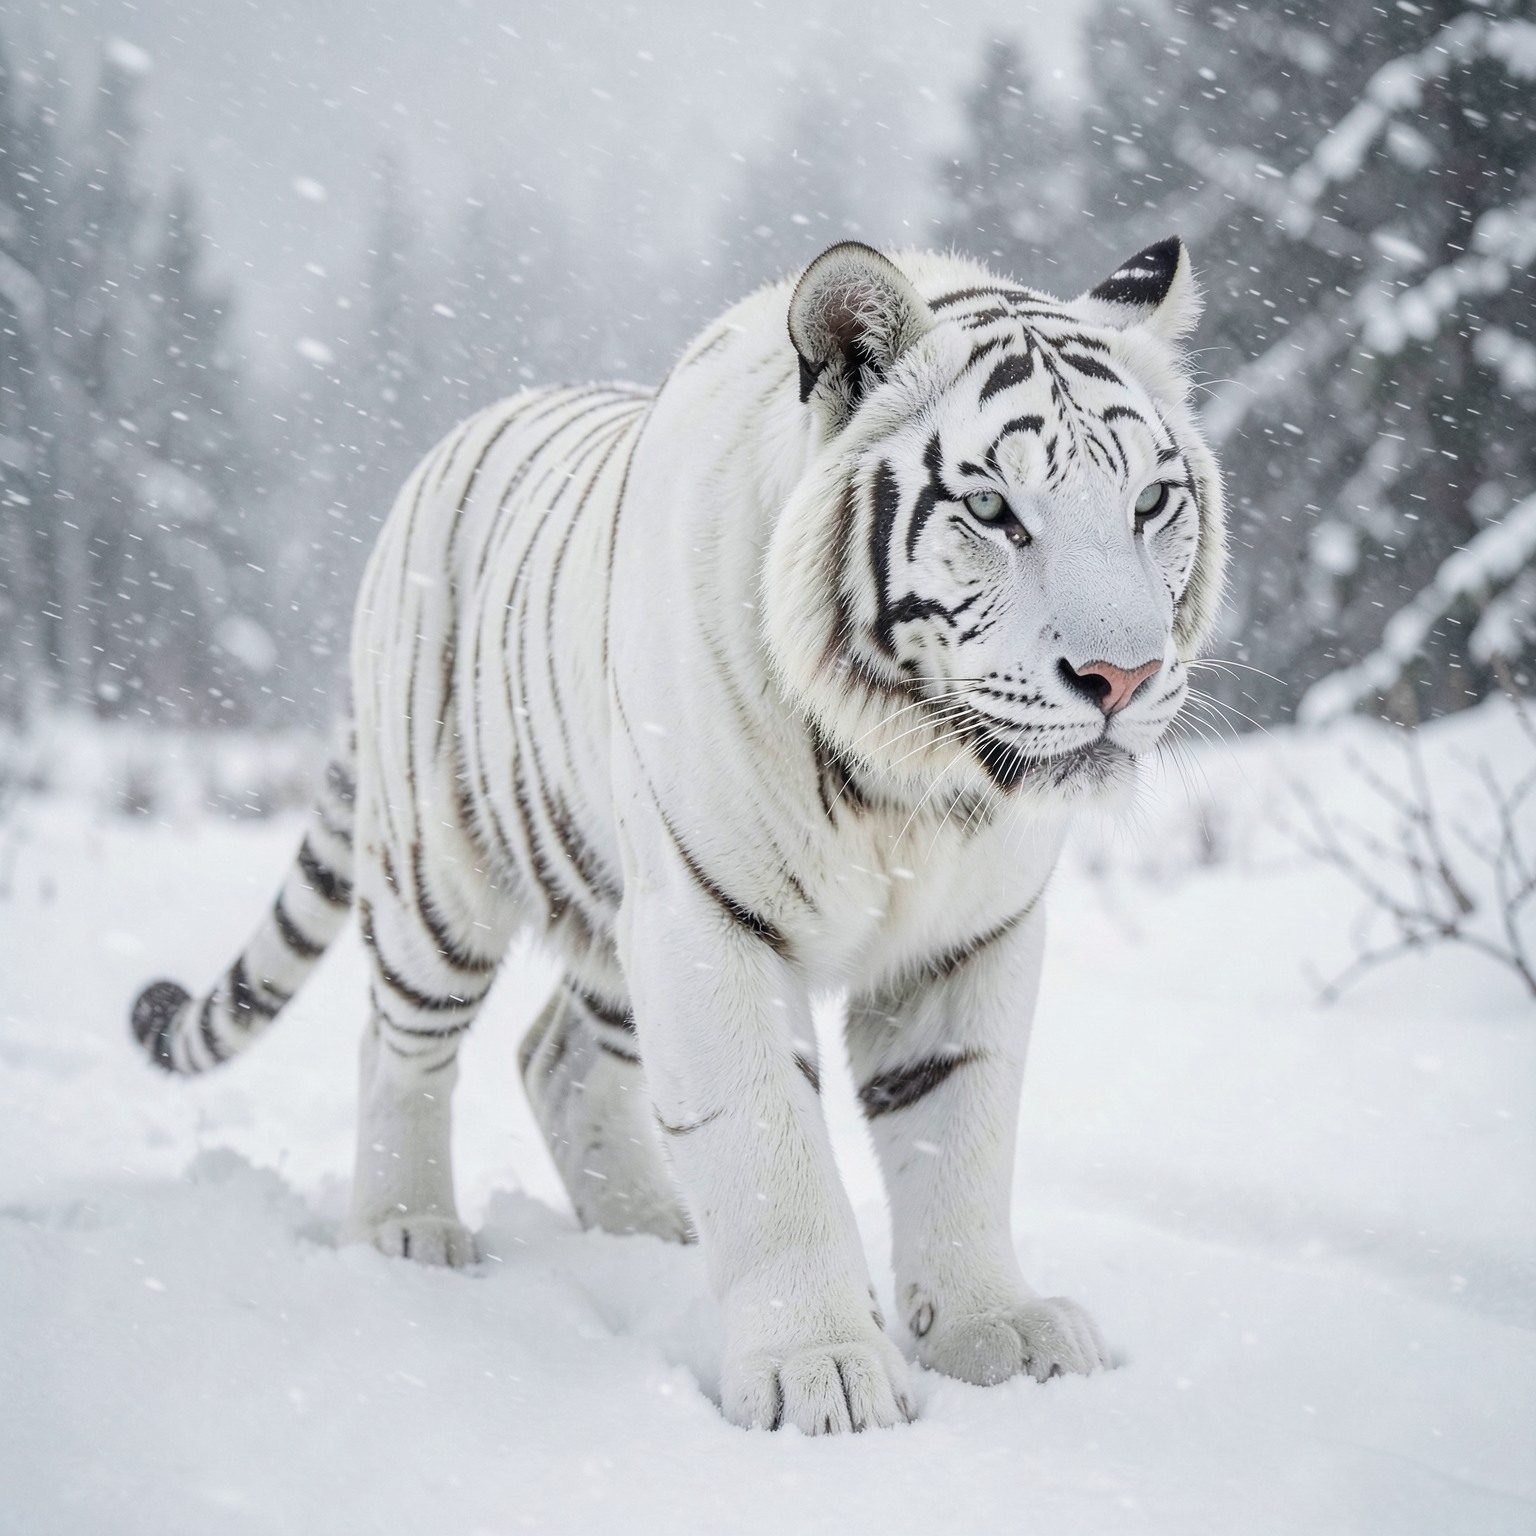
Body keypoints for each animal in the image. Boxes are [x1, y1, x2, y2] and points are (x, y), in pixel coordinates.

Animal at [131, 237, 1226, 1434]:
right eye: (990, 506)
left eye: (1152, 500)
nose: (1123, 677)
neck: (910, 780)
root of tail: (442, 453)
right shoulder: (710, 919)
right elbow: (766, 1143)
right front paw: (822, 1373)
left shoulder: (970, 939)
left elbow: (957, 1132)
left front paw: (998, 1333)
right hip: (440, 879)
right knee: (399, 1044)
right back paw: (407, 1232)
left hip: (606, 911)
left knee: (556, 1060)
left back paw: (649, 1234)